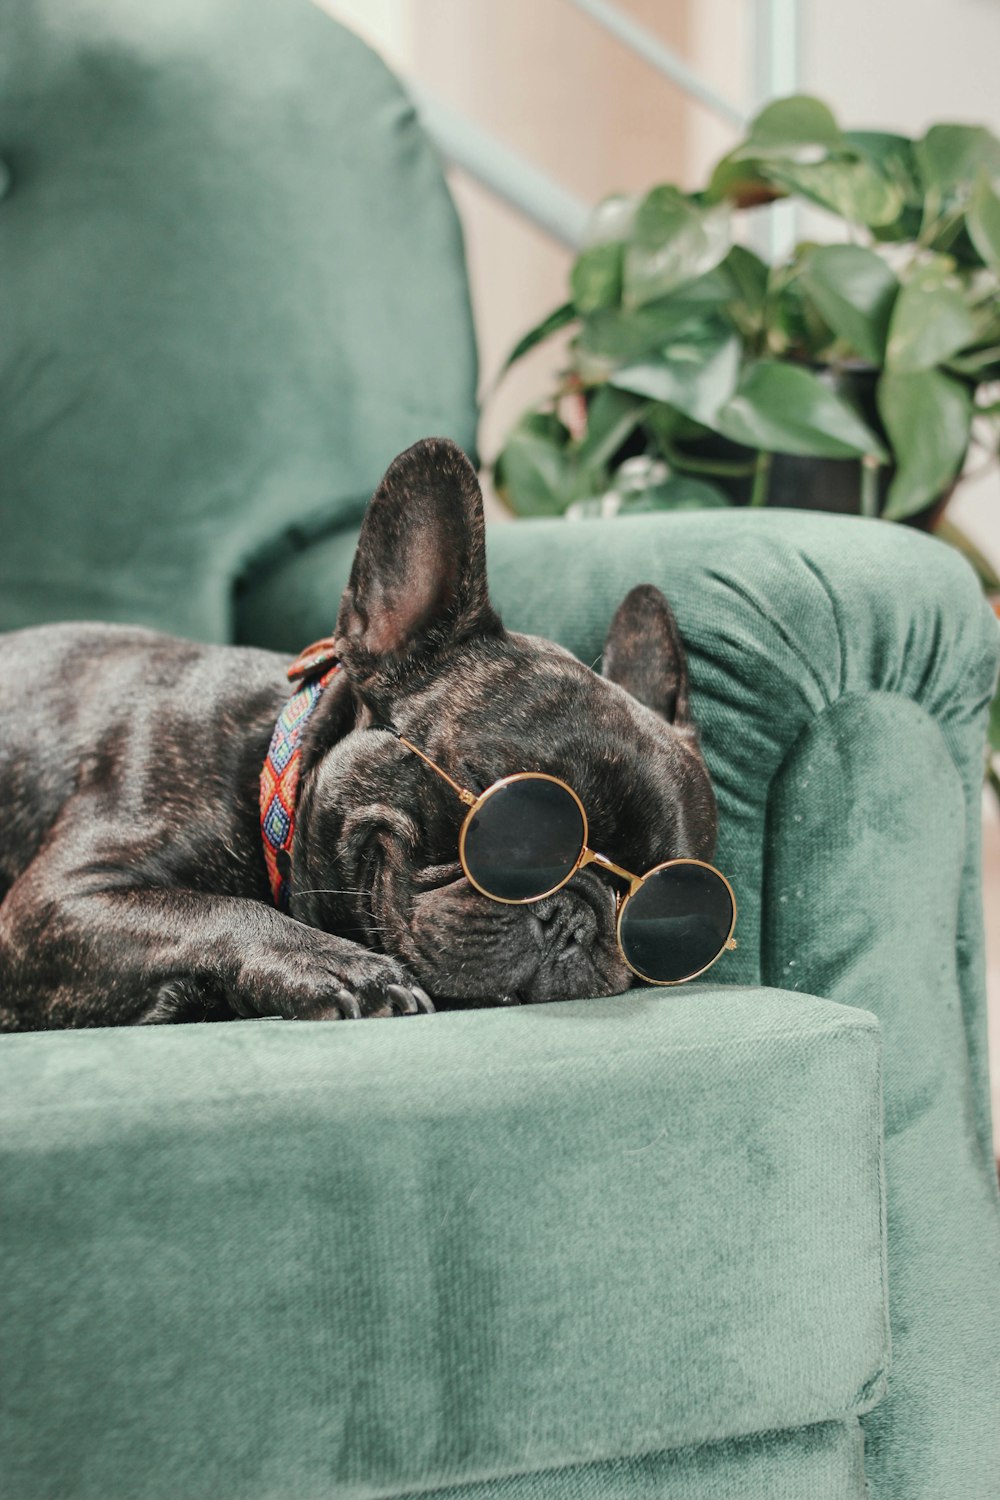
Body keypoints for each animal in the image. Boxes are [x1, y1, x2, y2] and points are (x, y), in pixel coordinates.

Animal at [0, 438, 719, 1032]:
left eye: (663, 906)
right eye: (512, 831)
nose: (574, 918)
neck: (270, 777)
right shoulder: (52, 905)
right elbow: (210, 909)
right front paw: (340, 966)